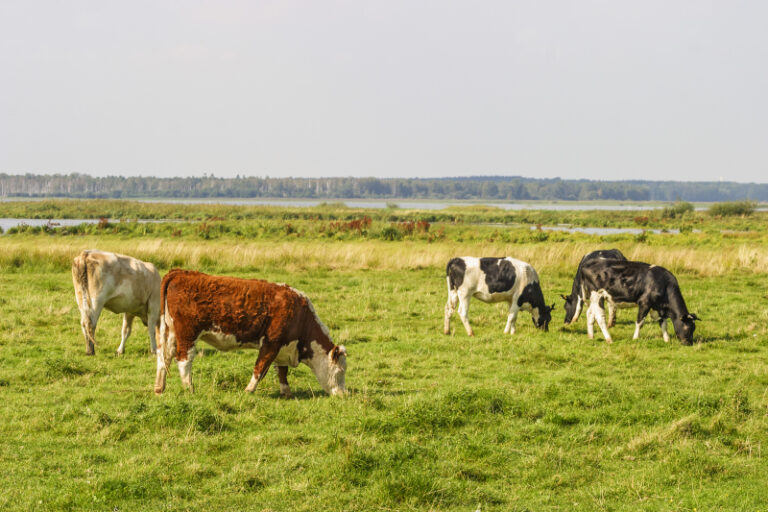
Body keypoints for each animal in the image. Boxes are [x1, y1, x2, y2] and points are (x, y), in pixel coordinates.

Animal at [154, 270, 346, 398]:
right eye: (340, 371)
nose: (345, 394)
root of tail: (180, 272)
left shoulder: (283, 346)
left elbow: (282, 371)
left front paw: (287, 393)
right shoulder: (271, 343)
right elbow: (260, 368)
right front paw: (248, 390)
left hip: (171, 333)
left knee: (164, 357)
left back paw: (159, 388)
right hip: (187, 334)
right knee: (183, 360)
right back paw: (190, 389)